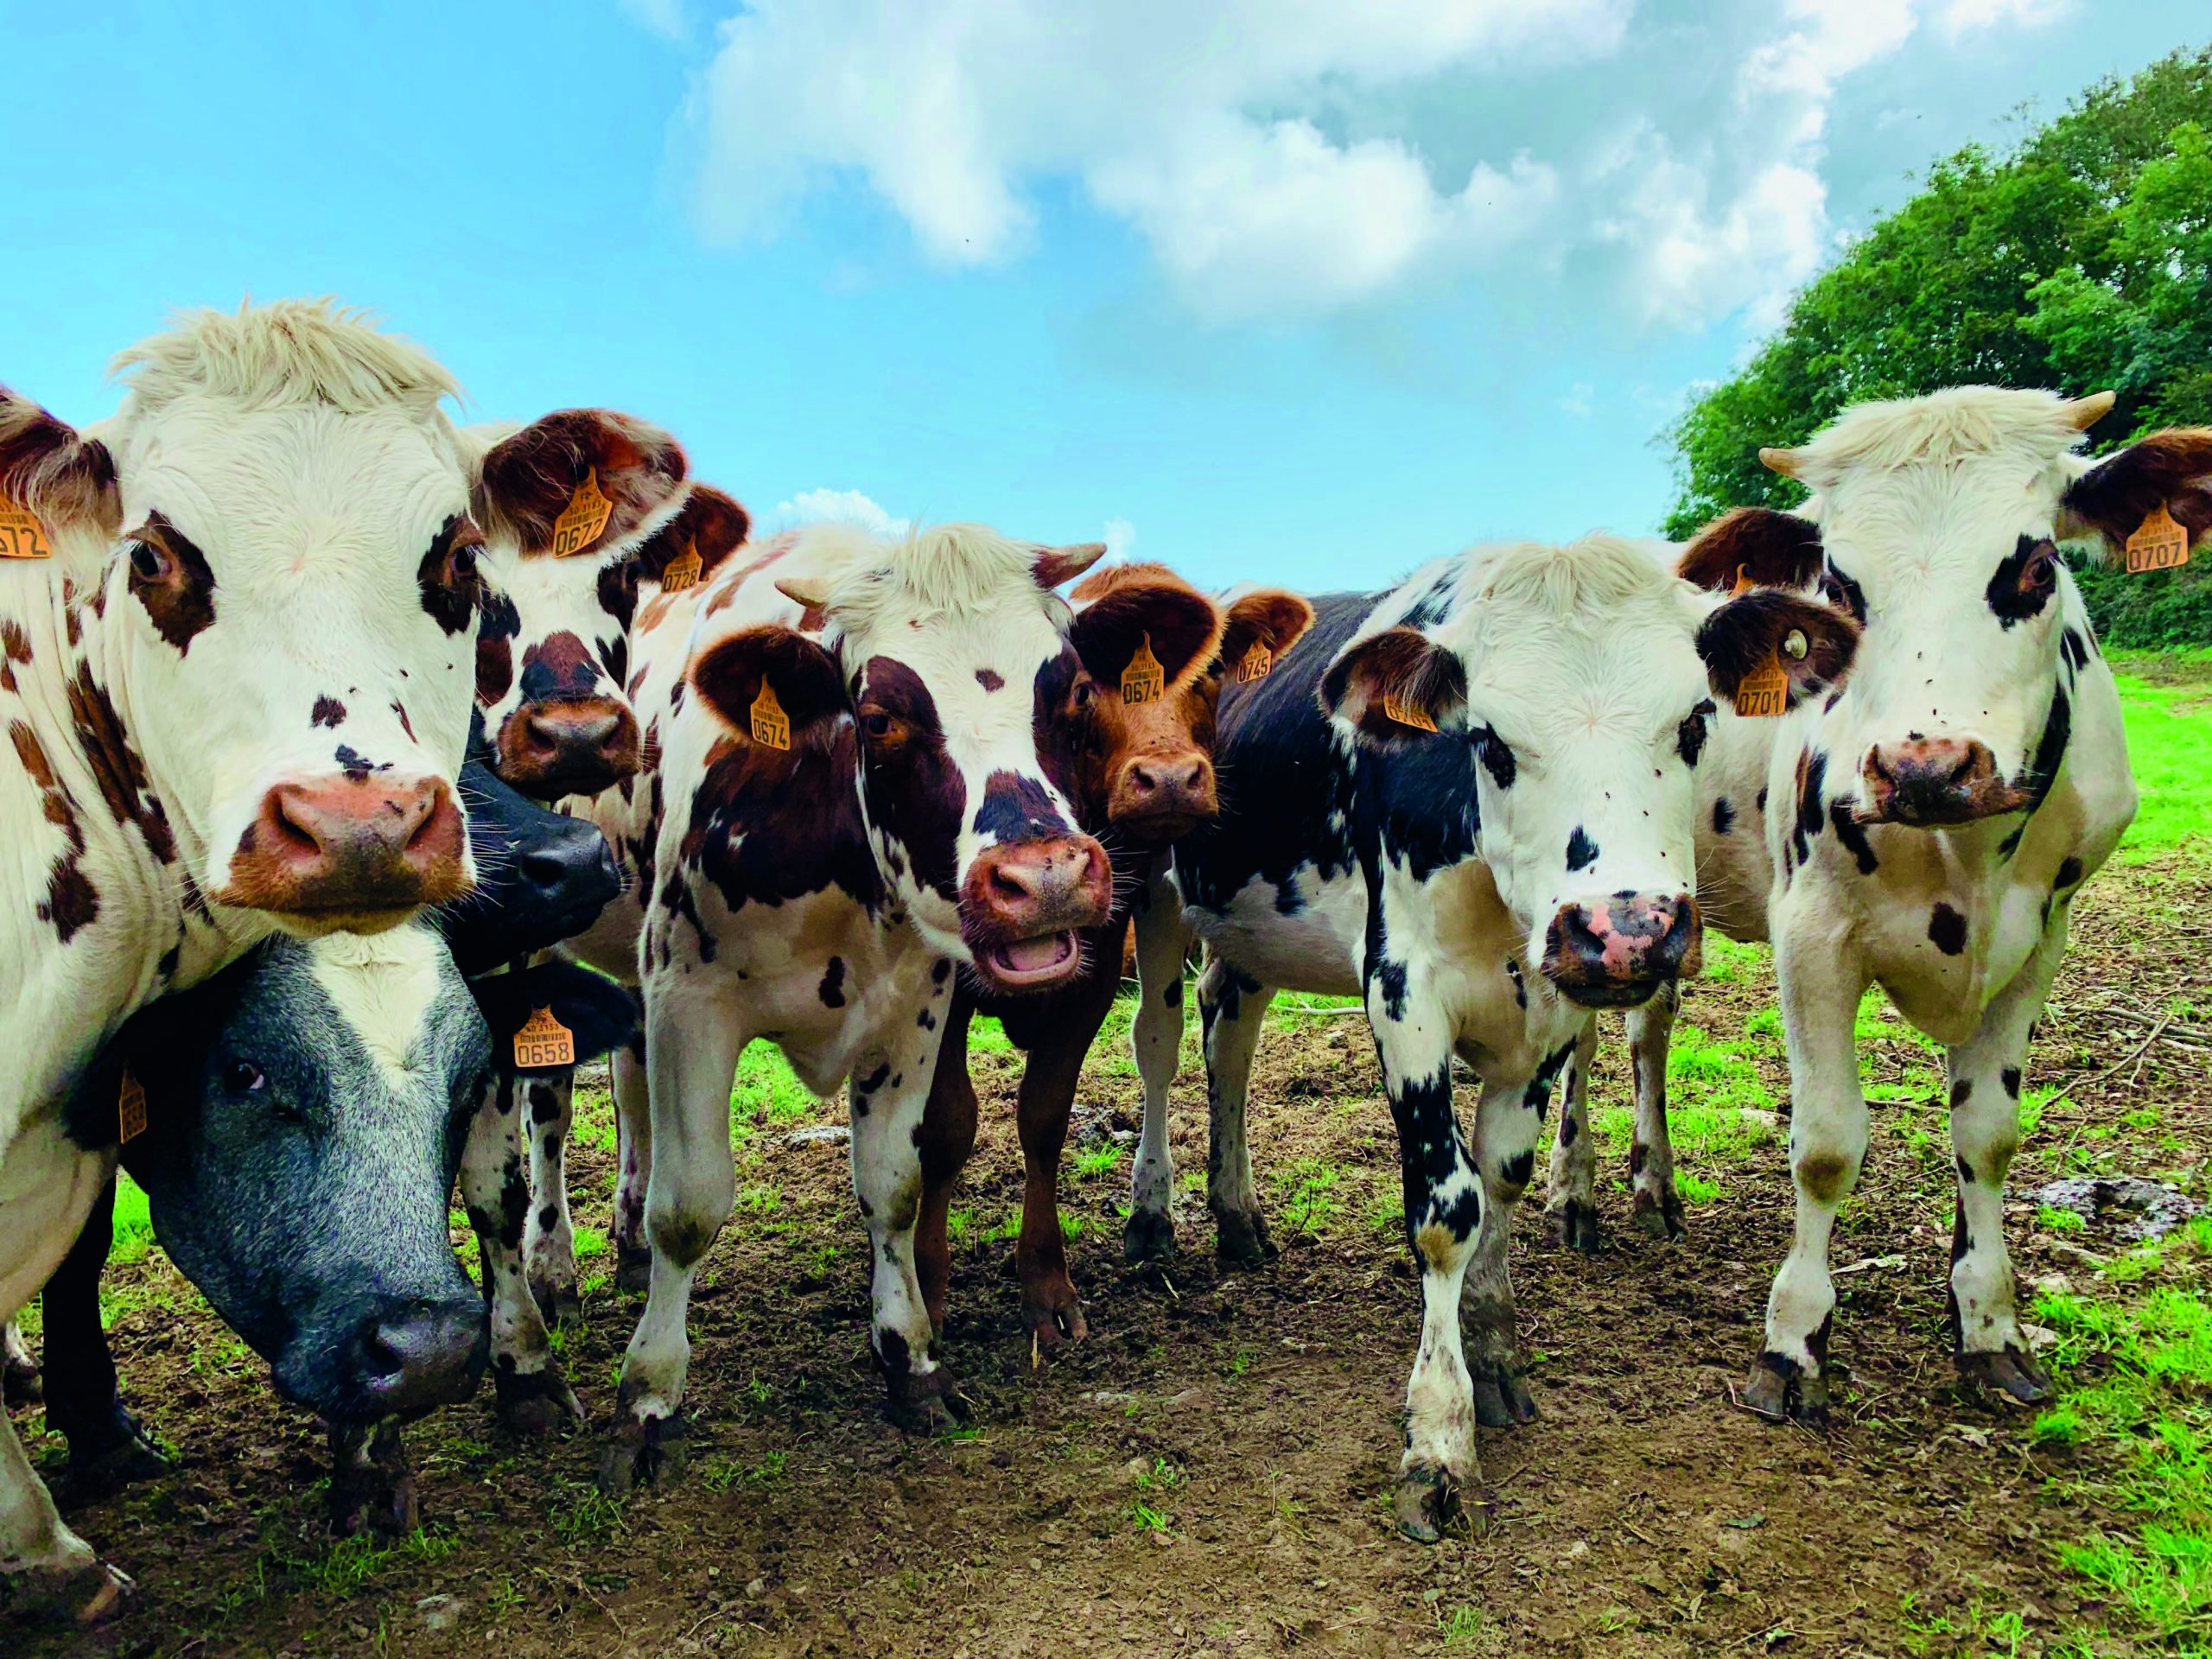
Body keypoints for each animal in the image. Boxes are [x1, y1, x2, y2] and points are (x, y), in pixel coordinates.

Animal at [914, 565, 1314, 1353]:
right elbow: (946, 1124)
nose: (1170, 779)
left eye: (1212, 672)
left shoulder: (1100, 964)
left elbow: (1046, 1115)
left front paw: (1047, 1288)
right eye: (1082, 687)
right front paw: (929, 1293)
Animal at [1132, 534, 1858, 1539]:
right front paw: (1438, 1435)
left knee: (1227, 1036)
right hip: (1153, 894)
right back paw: (1152, 1216)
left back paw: (1237, 1216)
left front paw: (1494, 1354)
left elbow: (1502, 1179)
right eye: (1488, 742)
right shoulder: (1402, 994)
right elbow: (1447, 1209)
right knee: (1157, 1042)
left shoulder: (1548, 1015)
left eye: (1693, 726)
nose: (1625, 928)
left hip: (1247, 933)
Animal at [1547, 388, 2179, 1425]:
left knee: (1648, 1033)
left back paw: (1655, 1184)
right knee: (1583, 1041)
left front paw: (1987, 1324)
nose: (1926, 765)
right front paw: (1794, 1340)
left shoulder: (2043, 937)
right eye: (1837, 587)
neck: (1965, 850)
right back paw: (1575, 1192)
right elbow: (1827, 1144)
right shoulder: (1811, 934)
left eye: (2036, 563)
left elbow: (1987, 1136)